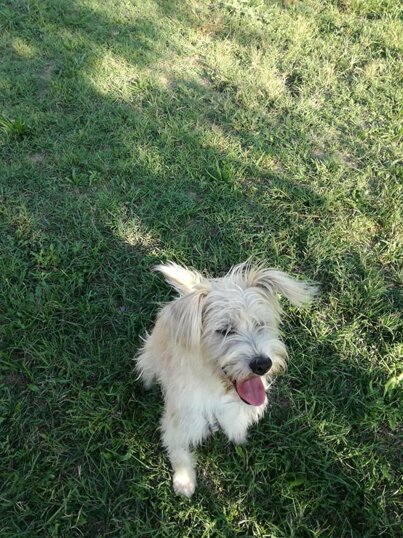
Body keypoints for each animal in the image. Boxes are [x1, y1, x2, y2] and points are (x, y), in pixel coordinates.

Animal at [136, 260, 316, 497]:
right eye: (224, 330)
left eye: (260, 324)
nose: (262, 364)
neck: (216, 389)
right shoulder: (178, 422)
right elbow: (178, 451)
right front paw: (184, 481)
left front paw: (239, 436)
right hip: (149, 357)